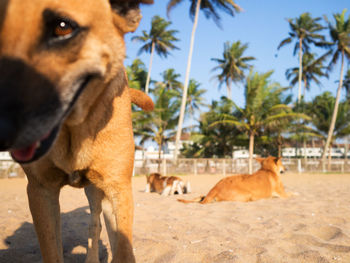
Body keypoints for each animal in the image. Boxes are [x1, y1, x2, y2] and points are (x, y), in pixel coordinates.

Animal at [0, 1, 154, 262]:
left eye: (63, 27)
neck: (73, 132)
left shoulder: (117, 189)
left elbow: (123, 249)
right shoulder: (41, 191)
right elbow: (52, 250)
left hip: (98, 192)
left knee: (96, 225)